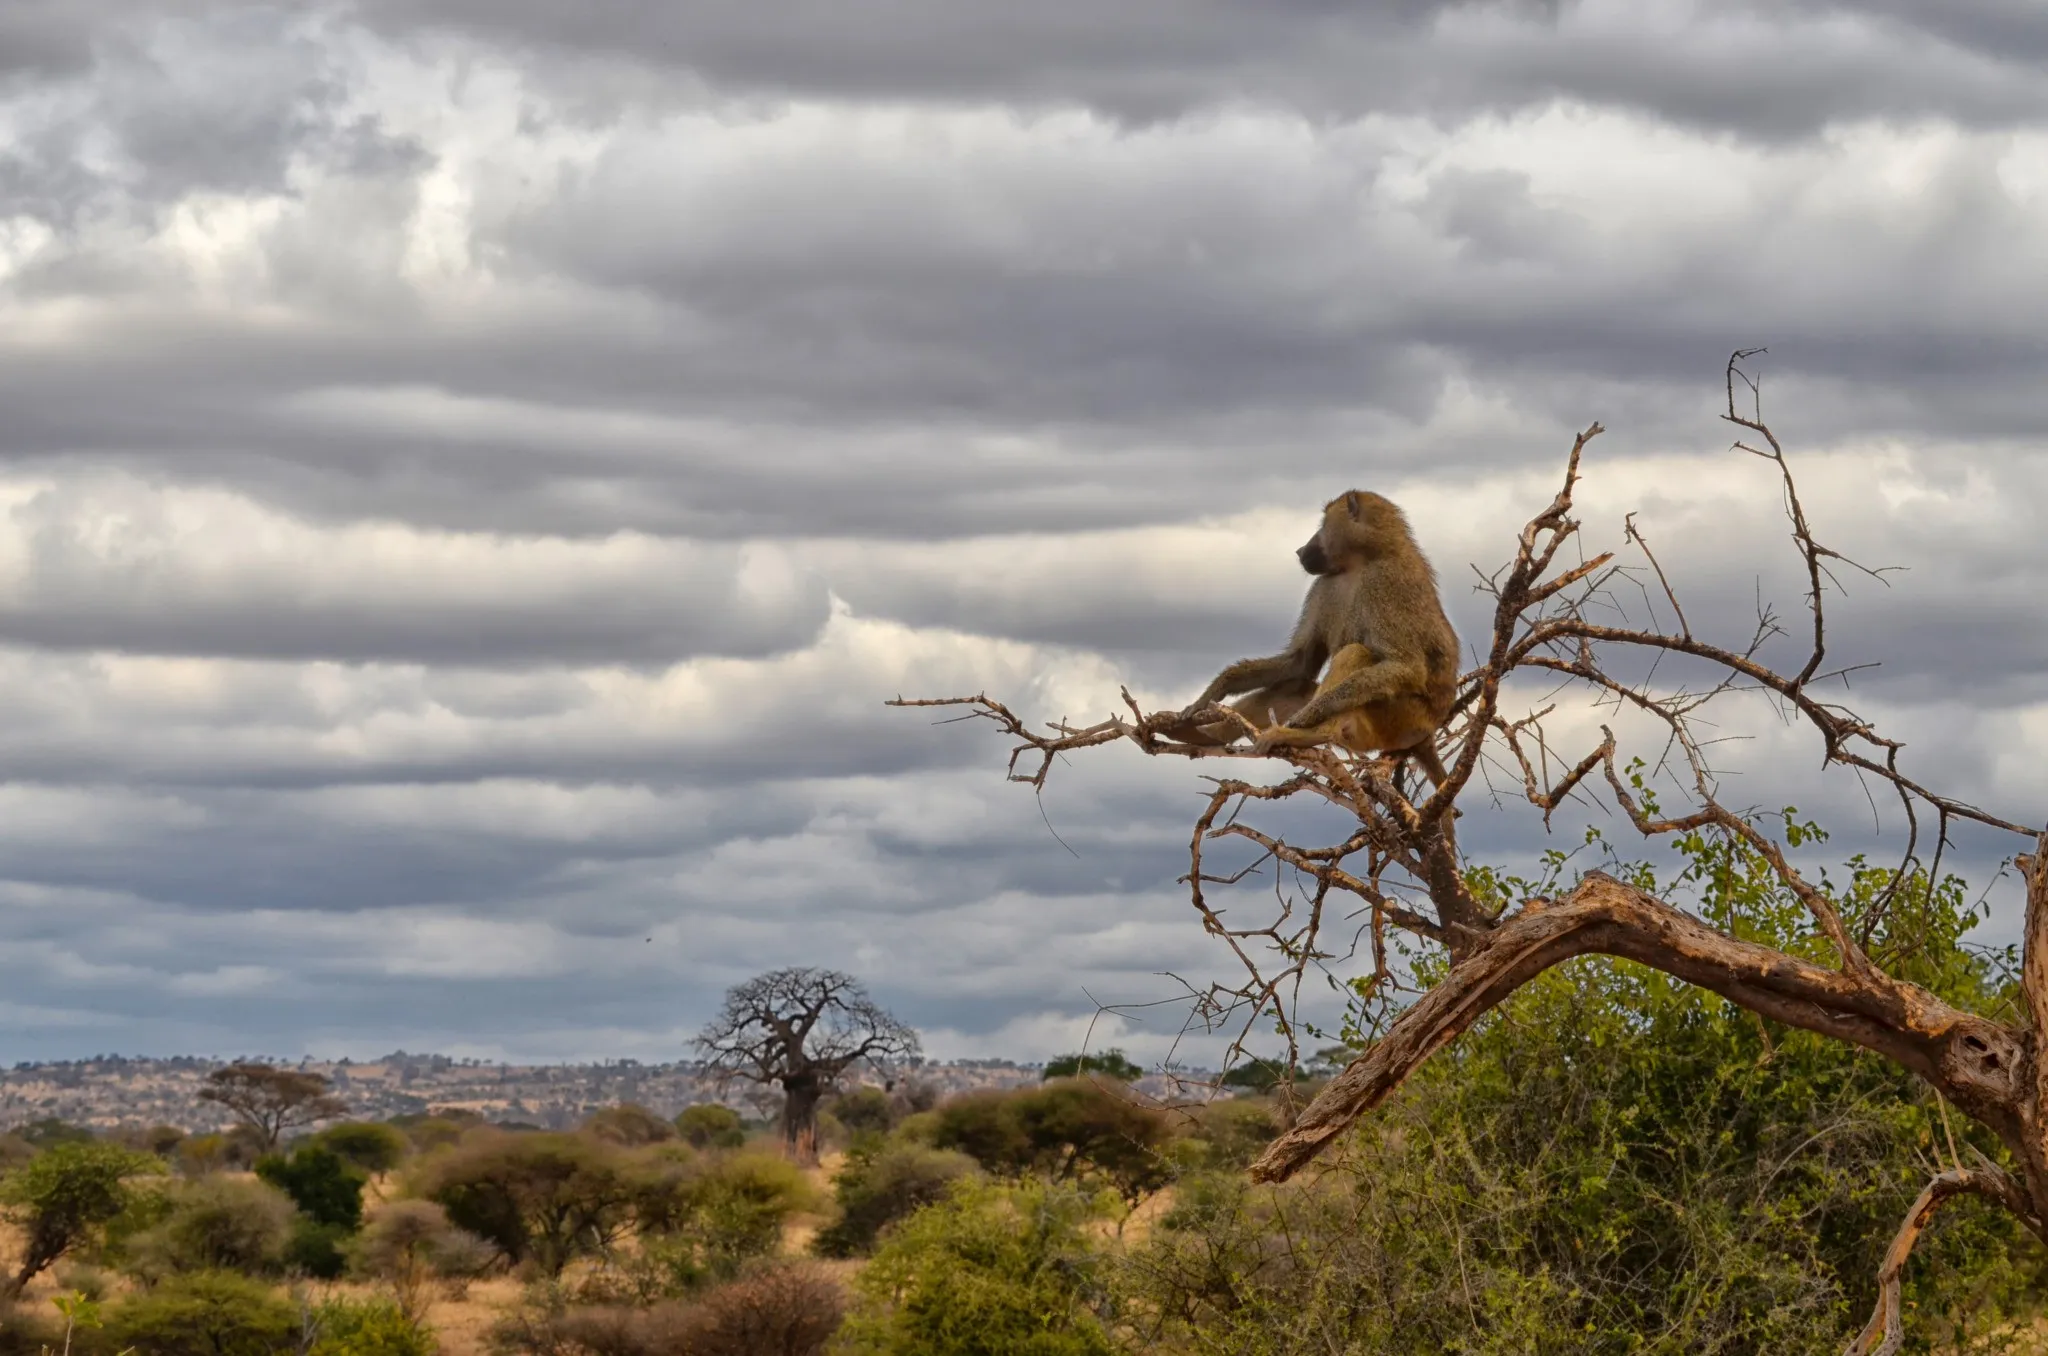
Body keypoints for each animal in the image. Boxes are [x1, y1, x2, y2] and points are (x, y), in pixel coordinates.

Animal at [1165, 490, 1458, 781]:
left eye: (1323, 524)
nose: (1300, 549)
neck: (1363, 560)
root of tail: (1426, 734)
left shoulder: (1384, 583)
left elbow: (1406, 667)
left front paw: (1308, 715)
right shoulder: (1324, 584)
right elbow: (1300, 661)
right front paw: (1214, 691)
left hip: (1399, 721)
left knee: (1356, 654)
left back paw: (1308, 734)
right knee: (1297, 684)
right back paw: (1202, 735)